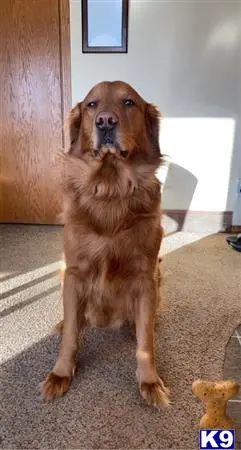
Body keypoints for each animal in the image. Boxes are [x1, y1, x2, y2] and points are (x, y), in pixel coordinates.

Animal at [41, 81, 169, 408]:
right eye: (91, 105)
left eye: (129, 102)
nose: (106, 122)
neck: (111, 188)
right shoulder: (74, 273)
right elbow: (71, 336)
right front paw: (61, 373)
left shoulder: (145, 276)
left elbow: (146, 343)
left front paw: (149, 381)